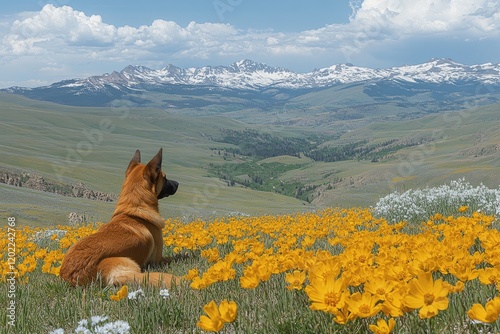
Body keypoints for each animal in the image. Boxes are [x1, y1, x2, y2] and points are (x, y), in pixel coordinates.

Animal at [59, 149, 180, 288]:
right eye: (165, 177)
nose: (178, 183)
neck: (134, 209)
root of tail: (72, 278)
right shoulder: (158, 260)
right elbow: (173, 258)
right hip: (129, 265)